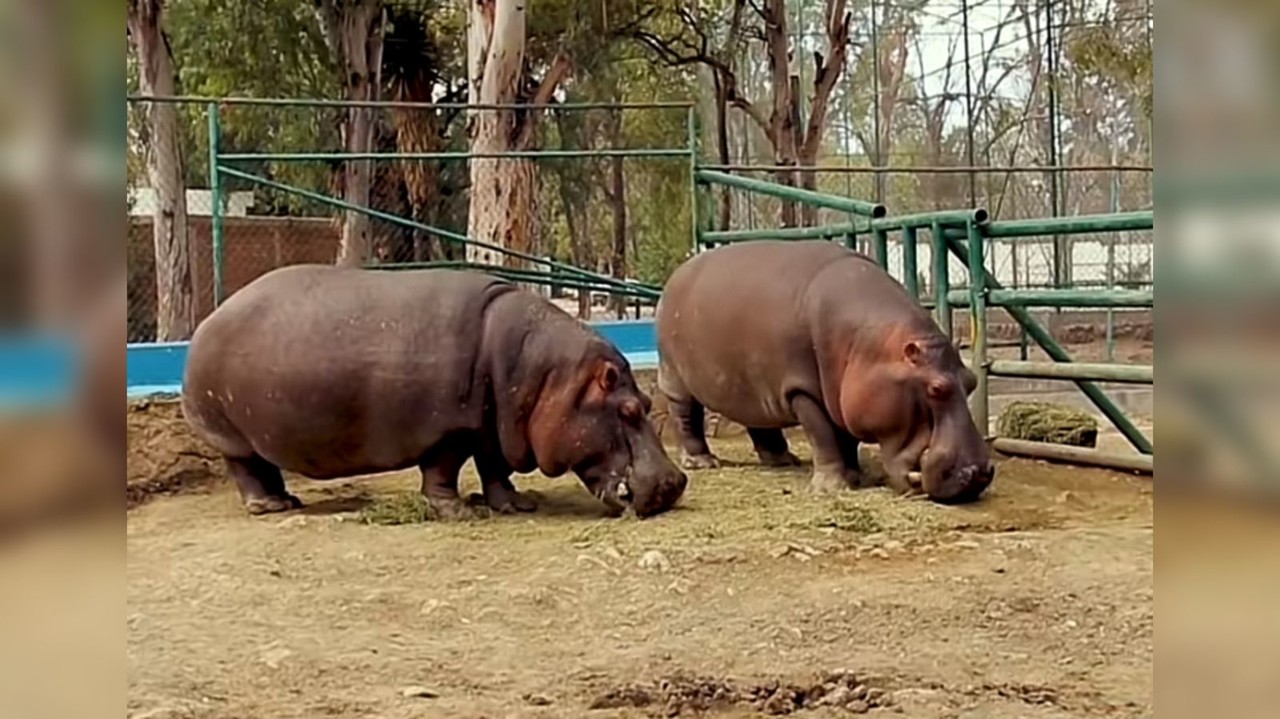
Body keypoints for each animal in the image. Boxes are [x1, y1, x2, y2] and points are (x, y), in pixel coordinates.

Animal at [180, 263, 691, 514]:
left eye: (648, 401)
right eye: (627, 410)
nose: (674, 483)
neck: (551, 378)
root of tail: (208, 319)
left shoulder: (493, 428)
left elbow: (494, 469)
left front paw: (519, 505)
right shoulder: (452, 429)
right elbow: (443, 472)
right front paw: (460, 512)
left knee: (266, 466)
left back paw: (287, 500)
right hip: (227, 432)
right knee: (246, 470)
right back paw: (267, 507)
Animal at [655, 237, 993, 501]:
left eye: (971, 381)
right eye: (936, 388)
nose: (977, 472)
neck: (873, 349)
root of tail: (676, 275)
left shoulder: (843, 395)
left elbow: (847, 438)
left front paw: (856, 477)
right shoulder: (804, 392)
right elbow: (823, 436)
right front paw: (832, 487)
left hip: (751, 385)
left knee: (759, 422)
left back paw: (783, 460)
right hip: (675, 376)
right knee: (686, 416)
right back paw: (703, 462)